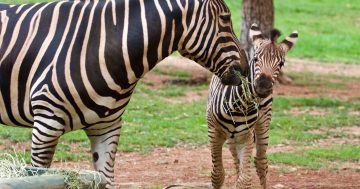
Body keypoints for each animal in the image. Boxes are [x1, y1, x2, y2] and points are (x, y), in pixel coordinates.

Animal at [0, 0, 248, 187]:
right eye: (225, 18)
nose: (245, 70)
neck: (100, 48)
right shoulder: (46, 123)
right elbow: (40, 175)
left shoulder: (106, 128)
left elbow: (107, 180)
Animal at [207, 24, 296, 189]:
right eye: (255, 59)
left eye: (281, 64)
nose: (263, 85)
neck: (240, 105)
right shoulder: (213, 132)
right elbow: (217, 175)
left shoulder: (246, 136)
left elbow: (245, 180)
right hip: (231, 138)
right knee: (236, 162)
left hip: (263, 124)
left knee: (261, 162)